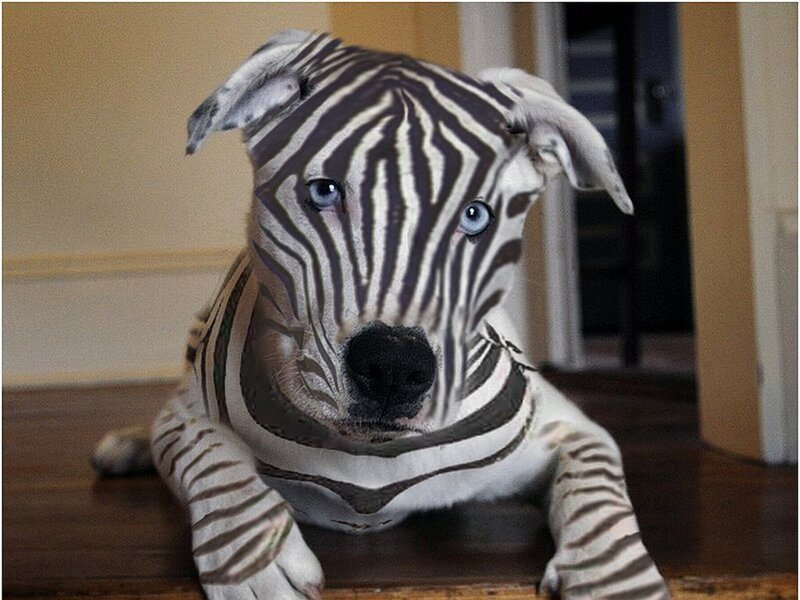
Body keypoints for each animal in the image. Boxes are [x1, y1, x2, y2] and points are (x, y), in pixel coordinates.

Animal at [93, 30, 670, 599]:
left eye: (475, 216)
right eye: (324, 191)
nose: (394, 367)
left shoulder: (571, 431)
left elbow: (597, 496)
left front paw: (610, 580)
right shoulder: (192, 415)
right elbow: (208, 451)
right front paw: (254, 558)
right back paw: (127, 445)